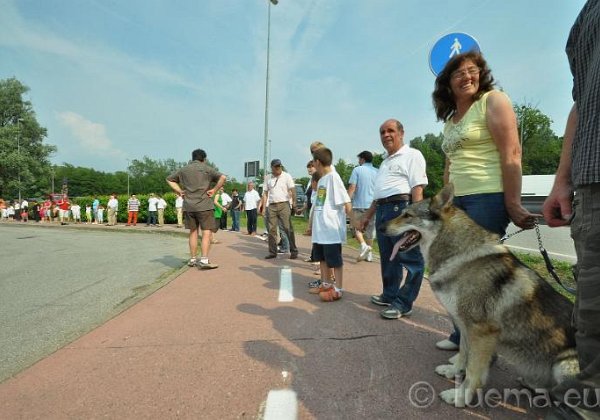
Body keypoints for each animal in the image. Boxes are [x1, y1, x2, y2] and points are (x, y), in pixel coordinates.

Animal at [382, 184, 580, 406]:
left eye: (407, 215)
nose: (380, 227)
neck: (460, 256)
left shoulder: (481, 332)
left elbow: (473, 371)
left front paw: (461, 397)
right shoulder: (465, 327)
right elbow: (463, 354)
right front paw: (453, 371)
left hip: (564, 366)